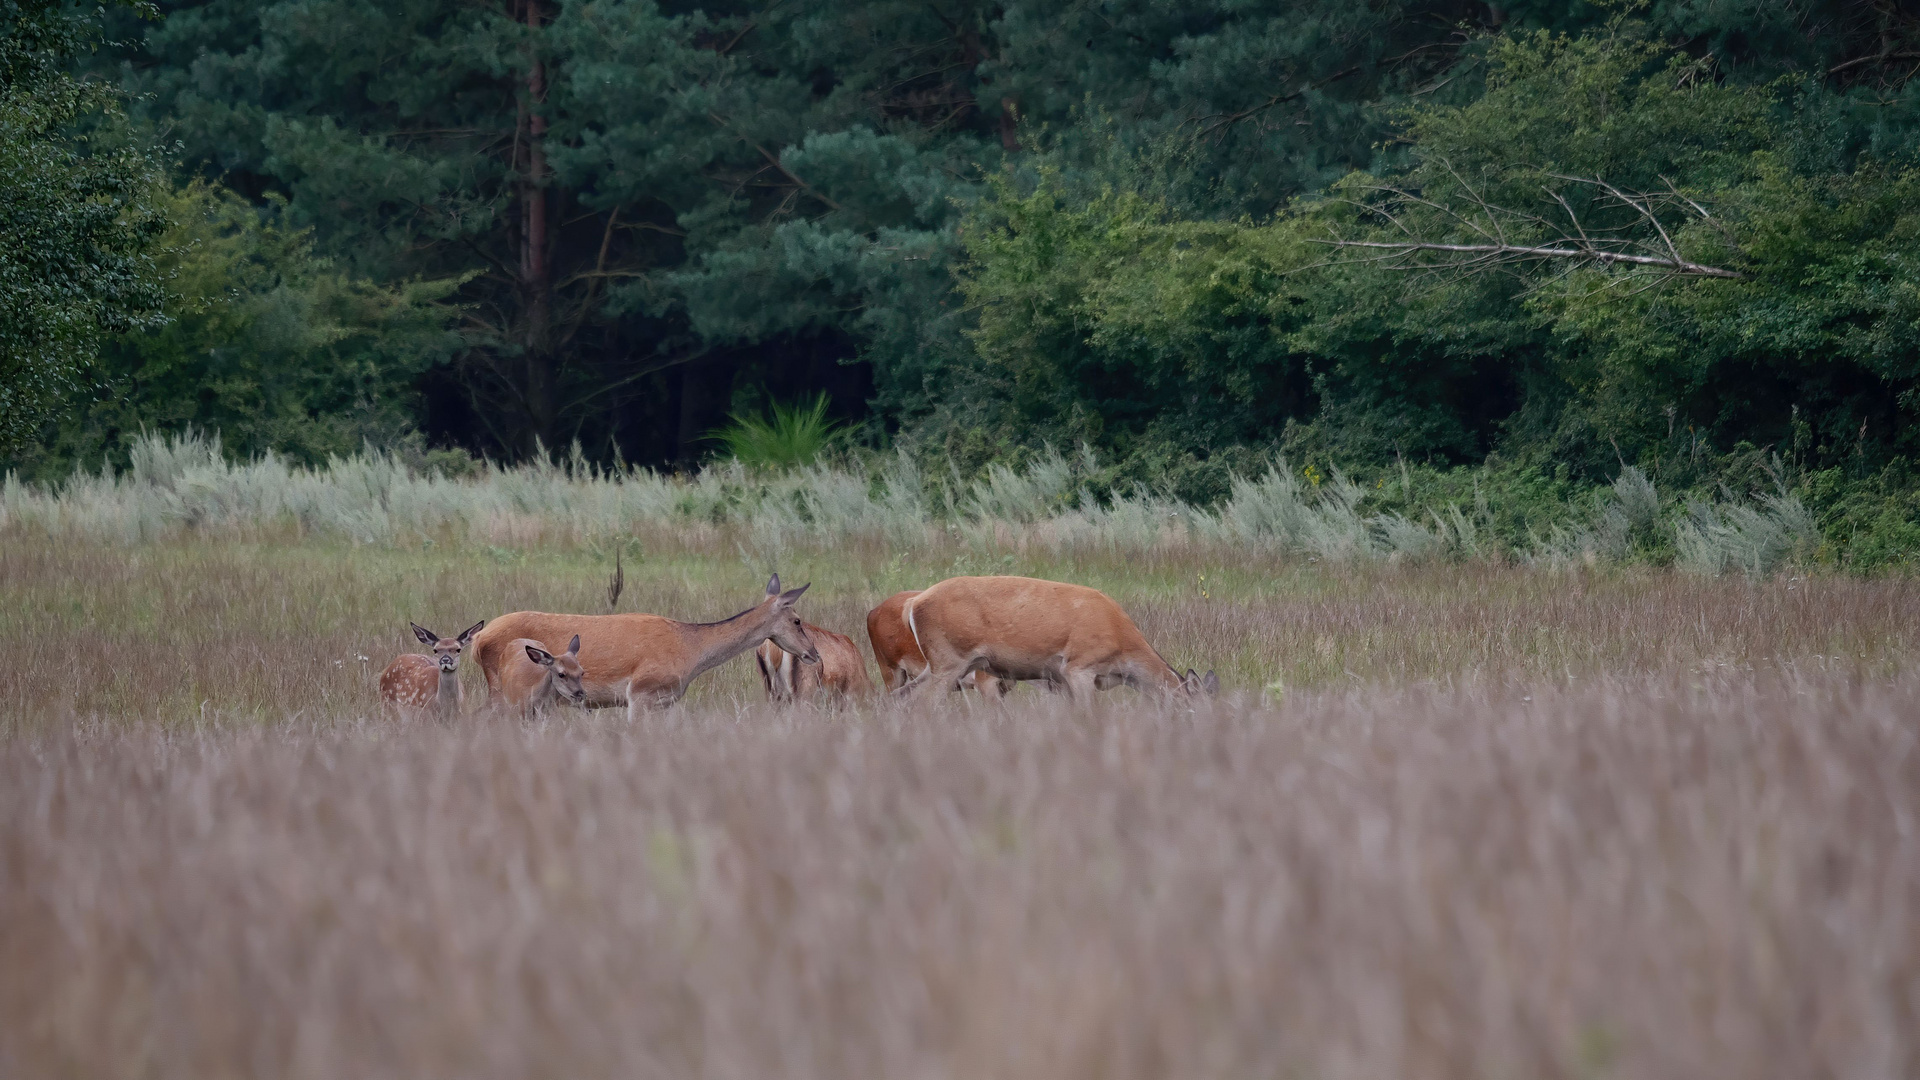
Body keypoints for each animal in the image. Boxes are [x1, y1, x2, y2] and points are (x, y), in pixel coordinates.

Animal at [476, 572, 821, 714]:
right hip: (503, 690)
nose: (814, 653)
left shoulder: (666, 700)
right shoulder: (641, 692)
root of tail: (479, 638)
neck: (690, 652)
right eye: (798, 620)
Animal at [898, 576, 1213, 703]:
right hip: (949, 657)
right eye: (1194, 709)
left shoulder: (1058, 679)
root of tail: (912, 604)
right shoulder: (1078, 666)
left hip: (938, 663)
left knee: (903, 694)